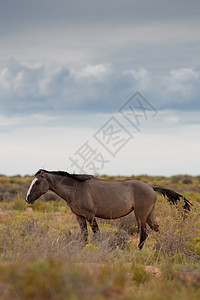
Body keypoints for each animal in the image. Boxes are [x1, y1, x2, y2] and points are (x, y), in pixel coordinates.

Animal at [25, 170, 192, 250]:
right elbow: (84, 236)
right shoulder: (80, 217)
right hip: (149, 215)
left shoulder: (90, 216)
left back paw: (138, 251)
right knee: (158, 230)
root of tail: (151, 187)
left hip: (140, 215)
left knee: (144, 234)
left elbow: (97, 234)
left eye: (37, 182)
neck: (76, 189)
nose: (28, 198)